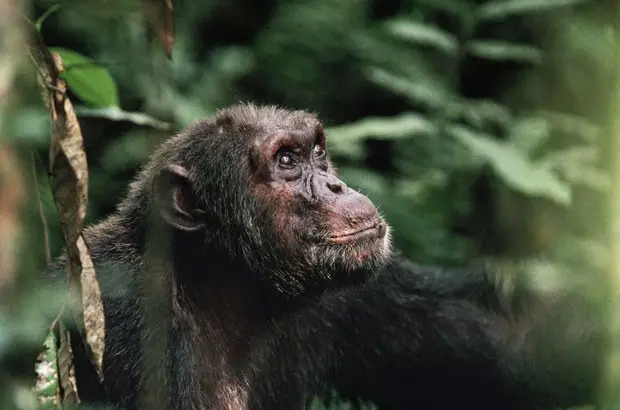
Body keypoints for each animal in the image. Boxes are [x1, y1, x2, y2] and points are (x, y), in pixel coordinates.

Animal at [47, 104, 600, 408]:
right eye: (286, 161)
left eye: (317, 153)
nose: (336, 185)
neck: (225, 290)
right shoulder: (125, 325)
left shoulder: (354, 294)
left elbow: (506, 349)